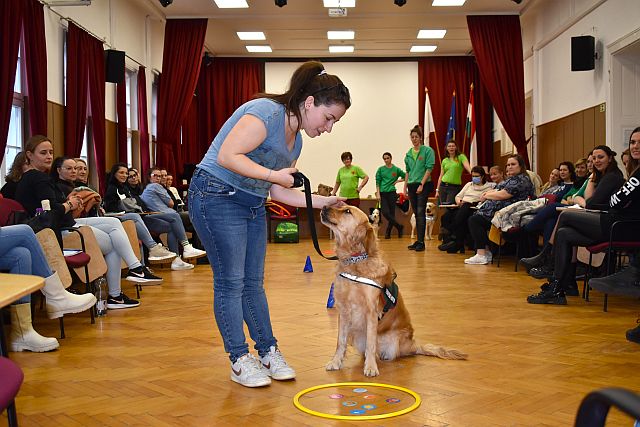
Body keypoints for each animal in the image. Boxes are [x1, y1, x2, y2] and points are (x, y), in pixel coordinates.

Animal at [318, 206, 464, 376]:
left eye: (347, 211)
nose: (324, 207)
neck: (355, 261)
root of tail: (415, 346)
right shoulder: (343, 310)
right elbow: (340, 342)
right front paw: (336, 361)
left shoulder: (371, 312)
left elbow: (371, 343)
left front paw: (370, 367)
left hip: (394, 341)